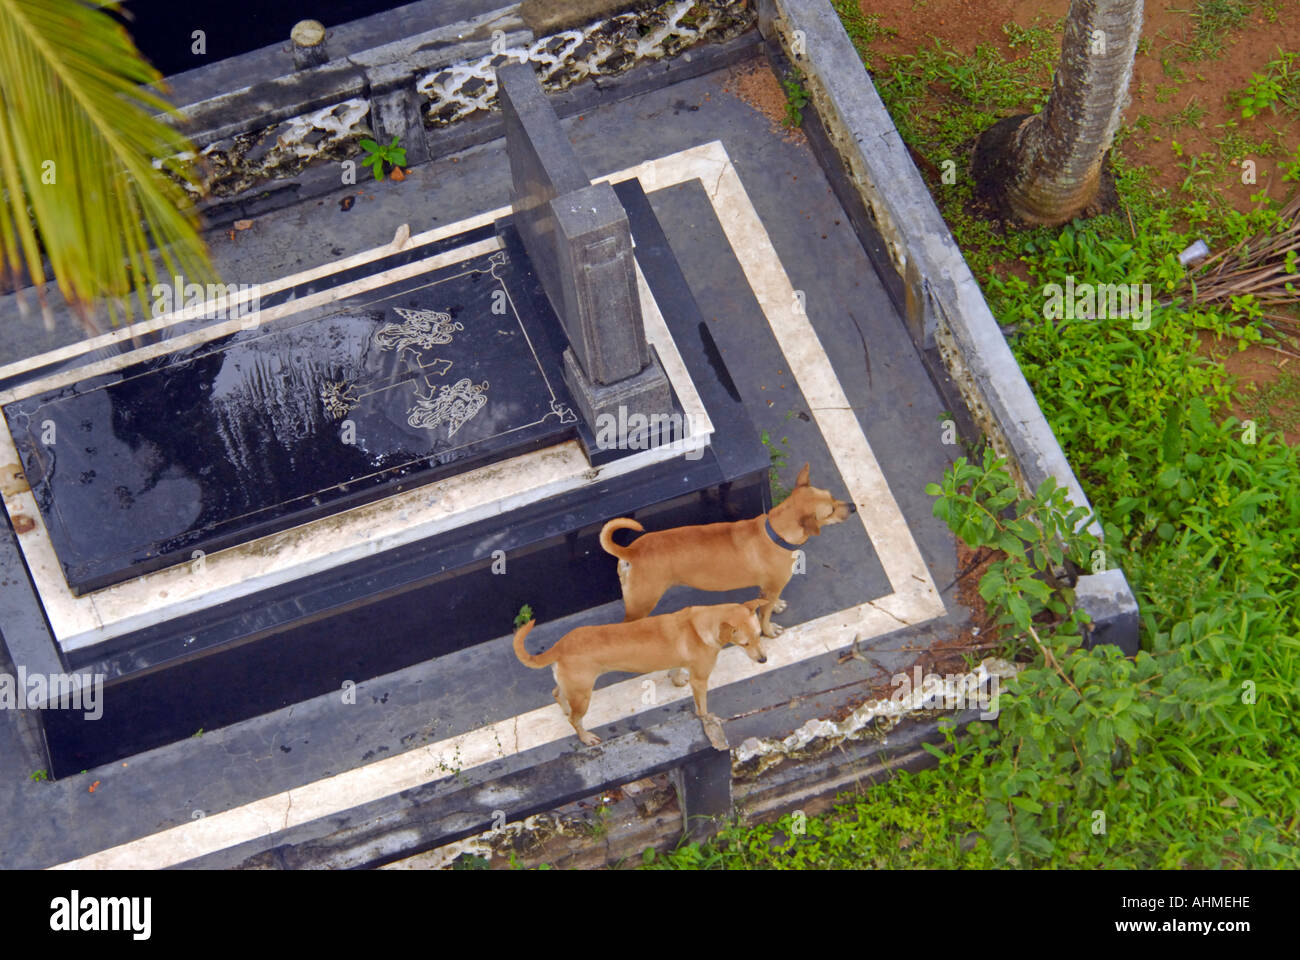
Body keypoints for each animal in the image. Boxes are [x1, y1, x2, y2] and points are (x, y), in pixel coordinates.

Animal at [512, 598, 764, 749]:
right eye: (745, 643)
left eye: (760, 634)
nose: (764, 660)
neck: (701, 624)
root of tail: (560, 645)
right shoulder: (701, 680)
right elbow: (702, 707)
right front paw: (706, 718)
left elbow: (675, 670)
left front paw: (677, 679)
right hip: (583, 695)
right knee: (575, 720)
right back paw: (585, 737)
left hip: (573, 687)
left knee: (557, 694)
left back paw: (564, 709)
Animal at [595, 460, 852, 632]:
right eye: (830, 511)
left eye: (832, 496)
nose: (852, 506)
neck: (775, 533)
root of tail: (630, 551)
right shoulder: (772, 587)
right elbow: (764, 616)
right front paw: (769, 631)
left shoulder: (768, 588)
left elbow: (768, 603)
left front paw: (777, 605)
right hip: (641, 604)